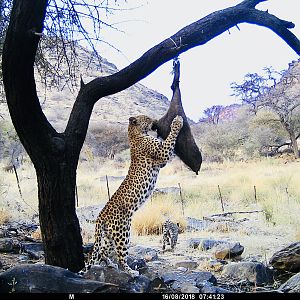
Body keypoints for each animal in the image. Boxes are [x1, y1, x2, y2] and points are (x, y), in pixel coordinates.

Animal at [79, 114, 183, 276]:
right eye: (147, 118)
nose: (155, 121)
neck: (135, 134)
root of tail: (101, 215)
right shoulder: (163, 153)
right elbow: (171, 137)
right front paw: (177, 121)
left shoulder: (161, 161)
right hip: (123, 233)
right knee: (121, 256)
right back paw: (131, 272)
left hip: (109, 236)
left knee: (102, 252)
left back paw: (111, 265)